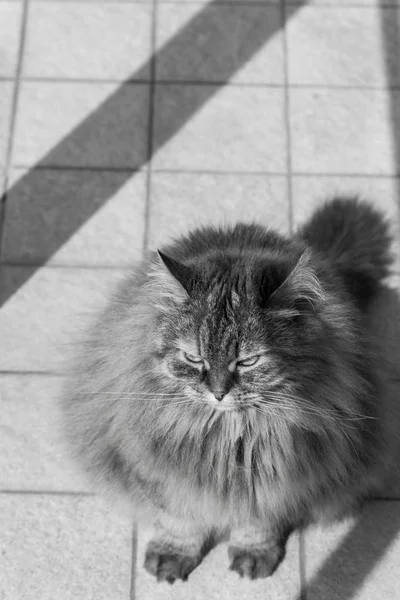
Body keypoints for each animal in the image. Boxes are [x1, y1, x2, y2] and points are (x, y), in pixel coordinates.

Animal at [61, 199, 398, 584]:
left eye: (248, 361)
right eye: (193, 357)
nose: (218, 392)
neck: (229, 435)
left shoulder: (279, 478)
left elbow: (258, 523)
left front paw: (253, 555)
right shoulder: (165, 474)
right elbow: (181, 521)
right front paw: (173, 554)